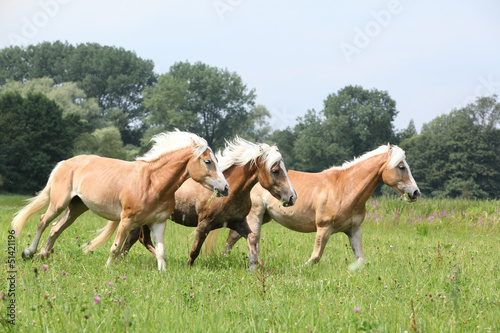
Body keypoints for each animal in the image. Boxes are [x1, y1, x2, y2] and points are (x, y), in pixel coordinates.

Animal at [12, 130, 229, 270]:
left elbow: (160, 251)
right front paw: (108, 269)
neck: (153, 183)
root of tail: (64, 163)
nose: (225, 188)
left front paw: (163, 273)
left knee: (56, 228)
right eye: (208, 161)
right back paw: (28, 252)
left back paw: (43, 255)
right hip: (59, 203)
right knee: (43, 221)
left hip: (76, 207)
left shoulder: (158, 223)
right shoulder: (126, 220)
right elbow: (115, 248)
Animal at [117, 137, 296, 270]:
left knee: (134, 238)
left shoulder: (238, 222)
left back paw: (121, 259)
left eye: (286, 168)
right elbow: (195, 250)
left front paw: (253, 267)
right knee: (142, 238)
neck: (230, 192)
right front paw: (187, 267)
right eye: (275, 170)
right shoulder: (204, 224)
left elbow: (252, 239)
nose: (292, 197)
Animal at [219, 144, 418, 268]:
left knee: (233, 237)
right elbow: (315, 257)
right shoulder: (324, 228)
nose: (416, 192)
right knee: (250, 240)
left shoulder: (354, 229)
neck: (345, 188)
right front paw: (300, 269)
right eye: (401, 167)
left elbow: (360, 260)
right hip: (256, 215)